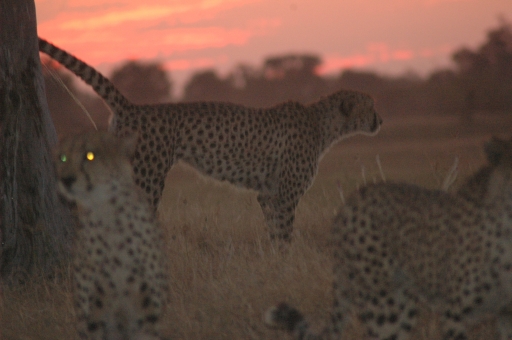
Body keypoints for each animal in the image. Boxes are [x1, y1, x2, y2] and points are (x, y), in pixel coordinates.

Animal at [41, 37, 380, 242]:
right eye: (370, 106)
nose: (381, 119)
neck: (324, 124)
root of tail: (133, 106)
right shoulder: (285, 195)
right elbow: (285, 232)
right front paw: (287, 263)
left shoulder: (268, 193)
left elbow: (274, 230)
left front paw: (276, 260)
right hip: (147, 177)